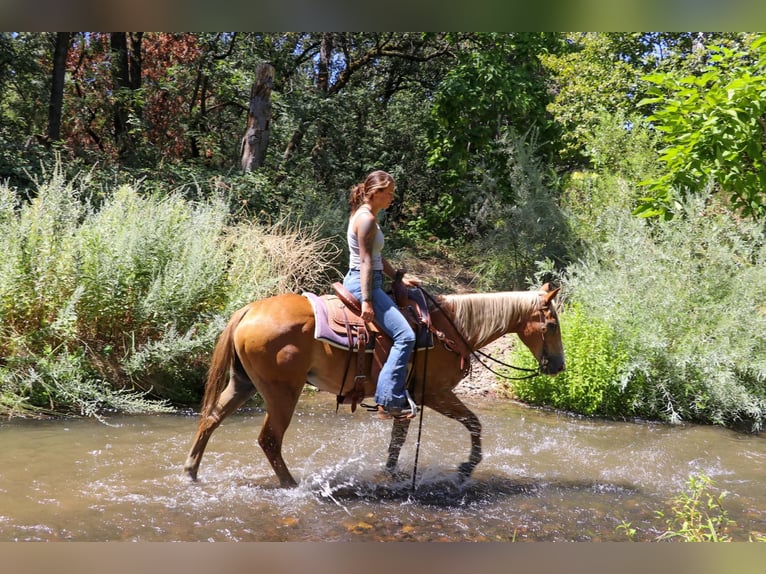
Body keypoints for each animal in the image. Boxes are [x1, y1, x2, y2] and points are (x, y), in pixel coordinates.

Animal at [184, 283, 565, 487]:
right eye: (552, 325)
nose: (559, 366)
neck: (450, 330)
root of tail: (248, 310)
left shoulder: (407, 399)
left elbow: (398, 440)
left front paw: (392, 473)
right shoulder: (436, 394)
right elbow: (474, 422)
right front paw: (465, 469)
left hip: (243, 383)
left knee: (210, 420)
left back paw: (190, 472)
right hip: (281, 393)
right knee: (269, 440)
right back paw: (292, 485)